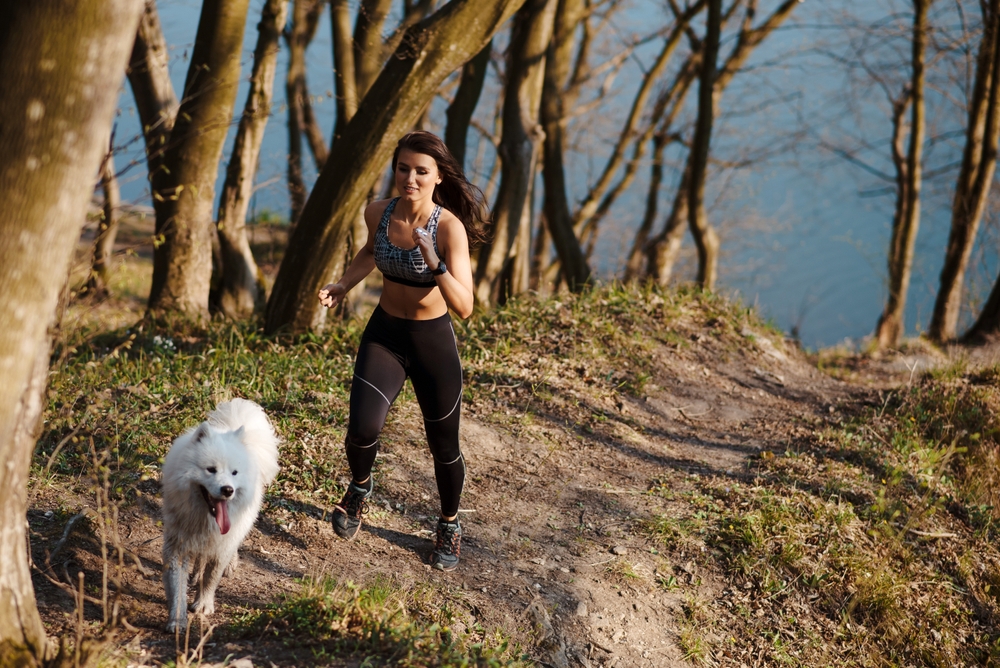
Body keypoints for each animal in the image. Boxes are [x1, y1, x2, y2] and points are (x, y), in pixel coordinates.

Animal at [161, 400, 280, 636]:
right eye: (211, 470)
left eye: (234, 473)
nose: (227, 490)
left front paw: (203, 605)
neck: (205, 519)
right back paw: (195, 573)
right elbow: (177, 585)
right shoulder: (178, 544)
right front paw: (177, 620)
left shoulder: (223, 544)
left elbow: (211, 576)